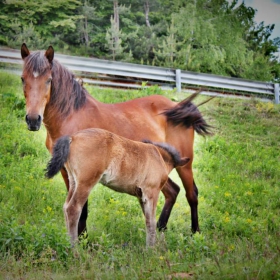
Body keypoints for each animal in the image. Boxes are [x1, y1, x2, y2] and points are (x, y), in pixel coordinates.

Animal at [45, 128, 190, 246]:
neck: (159, 156)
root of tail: (73, 137)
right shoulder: (151, 193)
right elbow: (152, 222)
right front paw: (151, 249)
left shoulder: (141, 196)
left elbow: (148, 220)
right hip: (86, 183)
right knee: (73, 209)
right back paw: (75, 250)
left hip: (73, 181)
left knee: (65, 207)